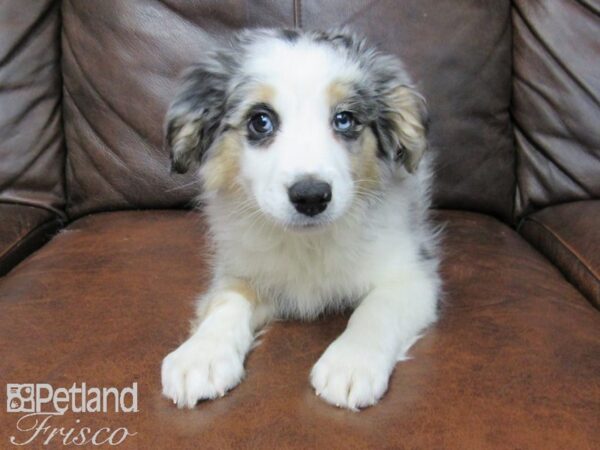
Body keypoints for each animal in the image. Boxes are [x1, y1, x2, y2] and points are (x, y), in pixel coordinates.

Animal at [161, 26, 440, 410]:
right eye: (260, 121)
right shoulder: (240, 268)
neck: (307, 243)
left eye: (344, 119)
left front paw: (351, 362)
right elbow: (226, 301)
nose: (311, 196)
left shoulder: (412, 276)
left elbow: (376, 309)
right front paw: (200, 356)